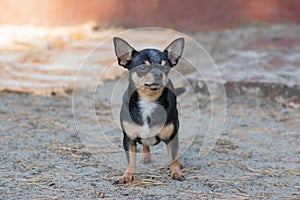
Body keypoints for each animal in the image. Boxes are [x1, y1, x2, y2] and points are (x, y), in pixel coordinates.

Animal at [113, 36, 184, 184]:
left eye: (165, 67)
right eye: (143, 67)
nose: (158, 73)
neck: (148, 101)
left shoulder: (172, 137)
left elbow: (173, 156)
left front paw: (176, 172)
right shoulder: (128, 139)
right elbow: (130, 160)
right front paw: (126, 176)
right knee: (145, 144)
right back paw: (146, 156)